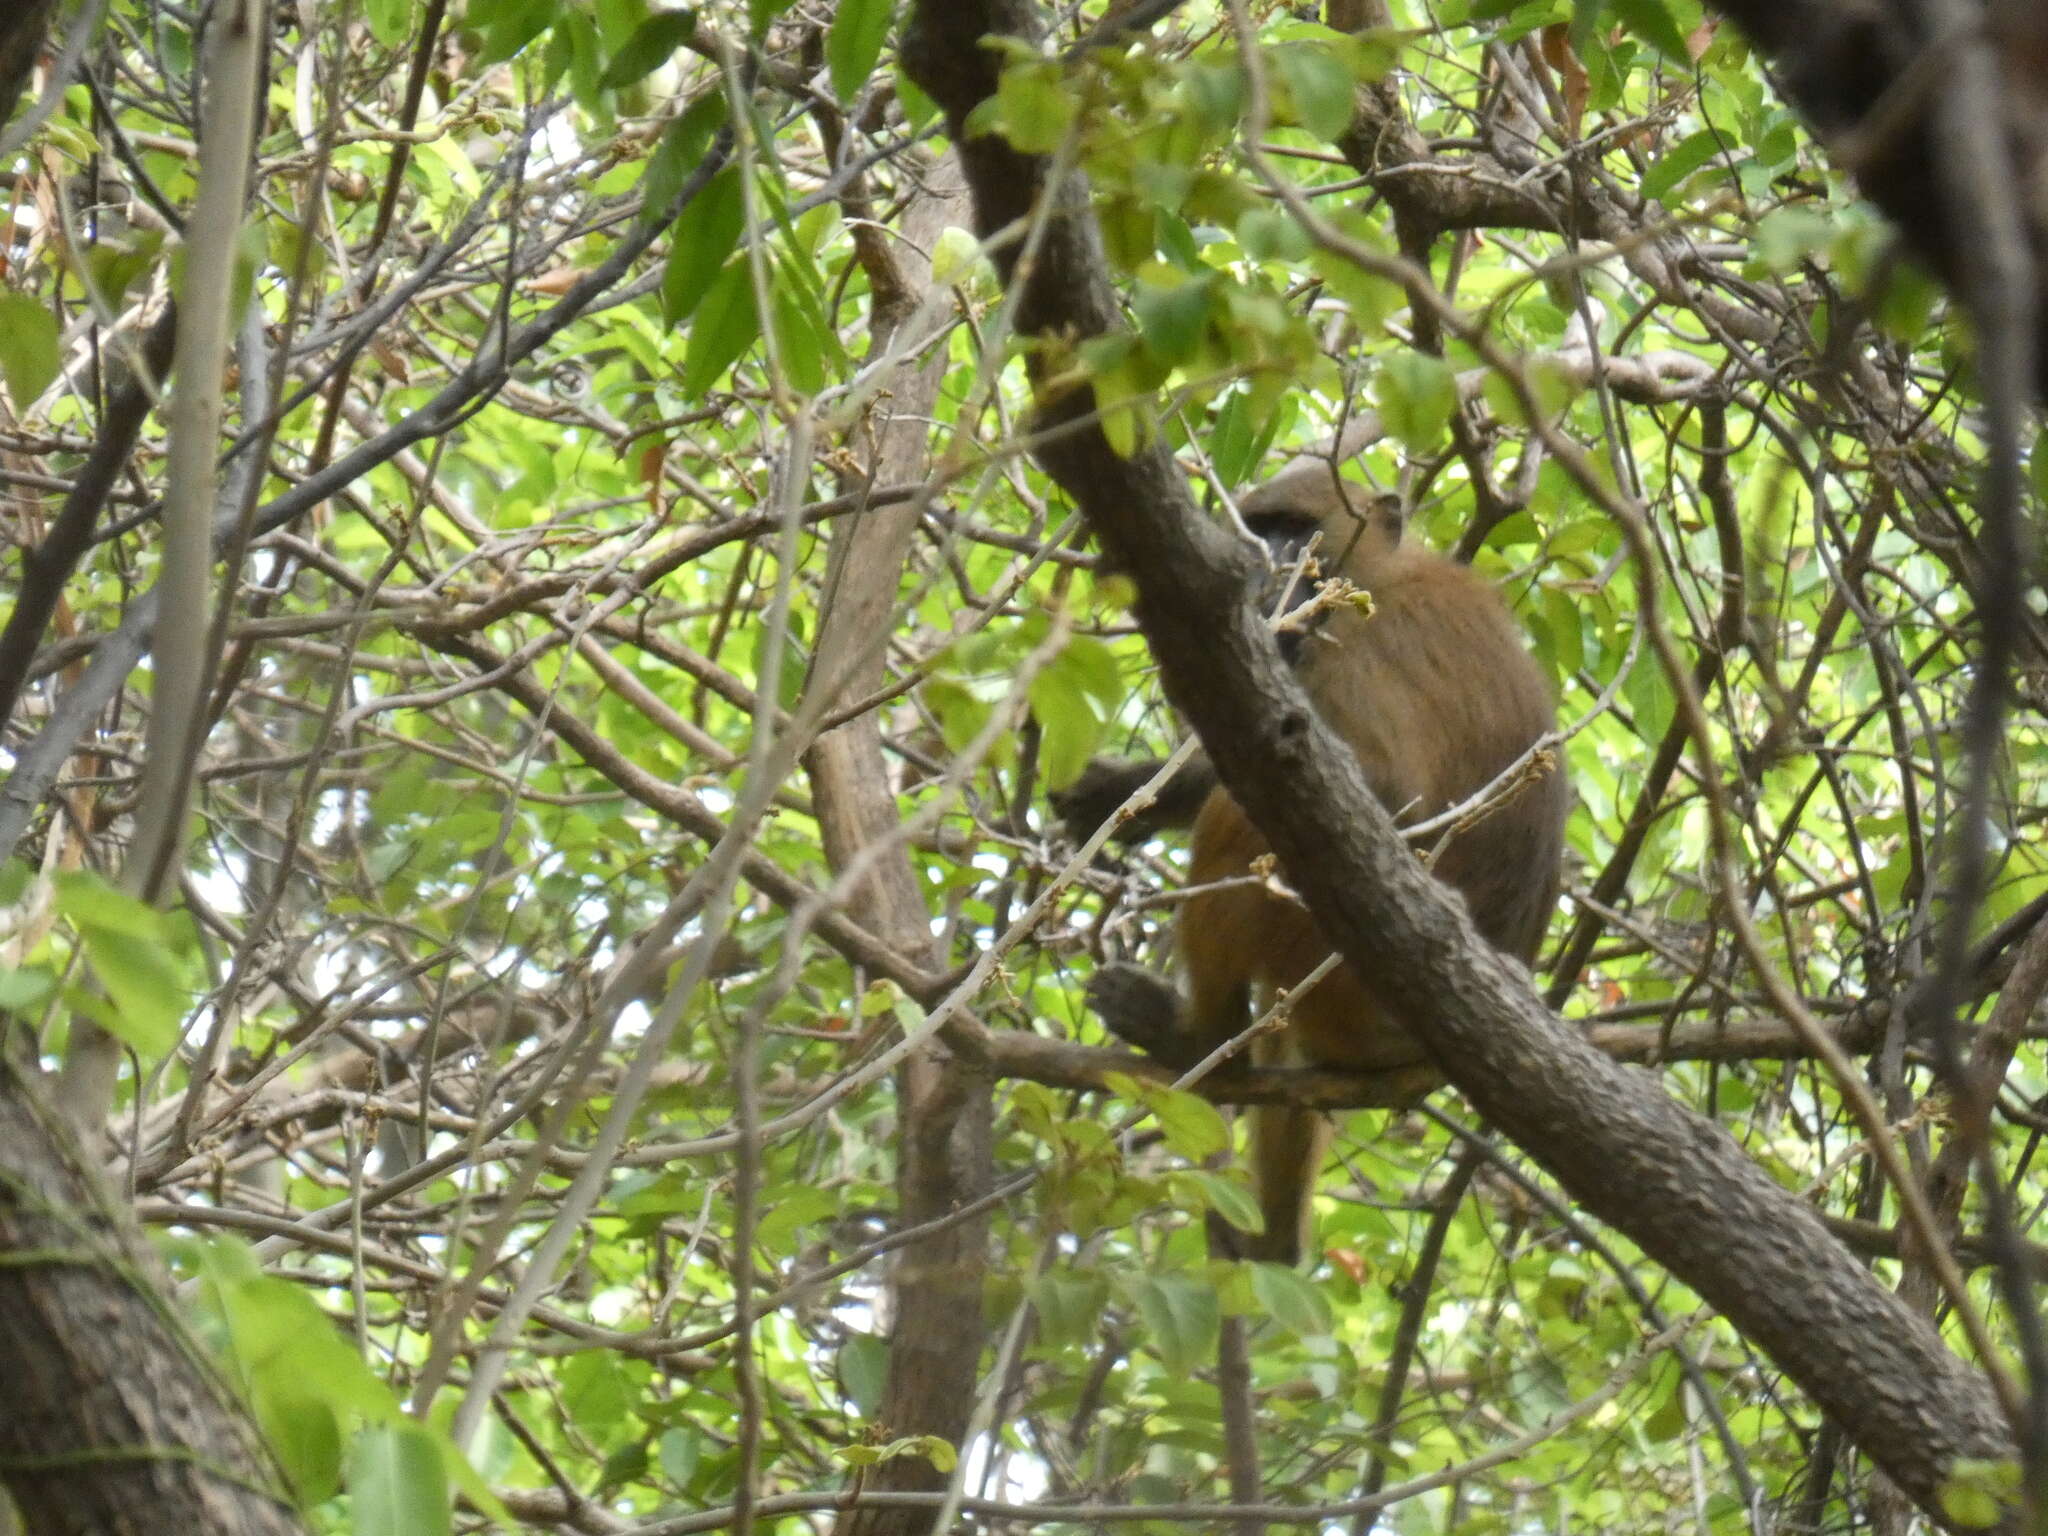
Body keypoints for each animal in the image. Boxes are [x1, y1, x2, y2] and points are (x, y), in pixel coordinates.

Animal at [1056, 468, 1564, 1261]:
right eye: (1259, 529)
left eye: (1297, 530)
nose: (1266, 573)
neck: (1387, 571)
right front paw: (1120, 791)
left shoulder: (1364, 636)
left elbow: (1380, 791)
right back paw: (1268, 1237)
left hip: (1334, 976)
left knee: (1238, 829)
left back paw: (1203, 1043)